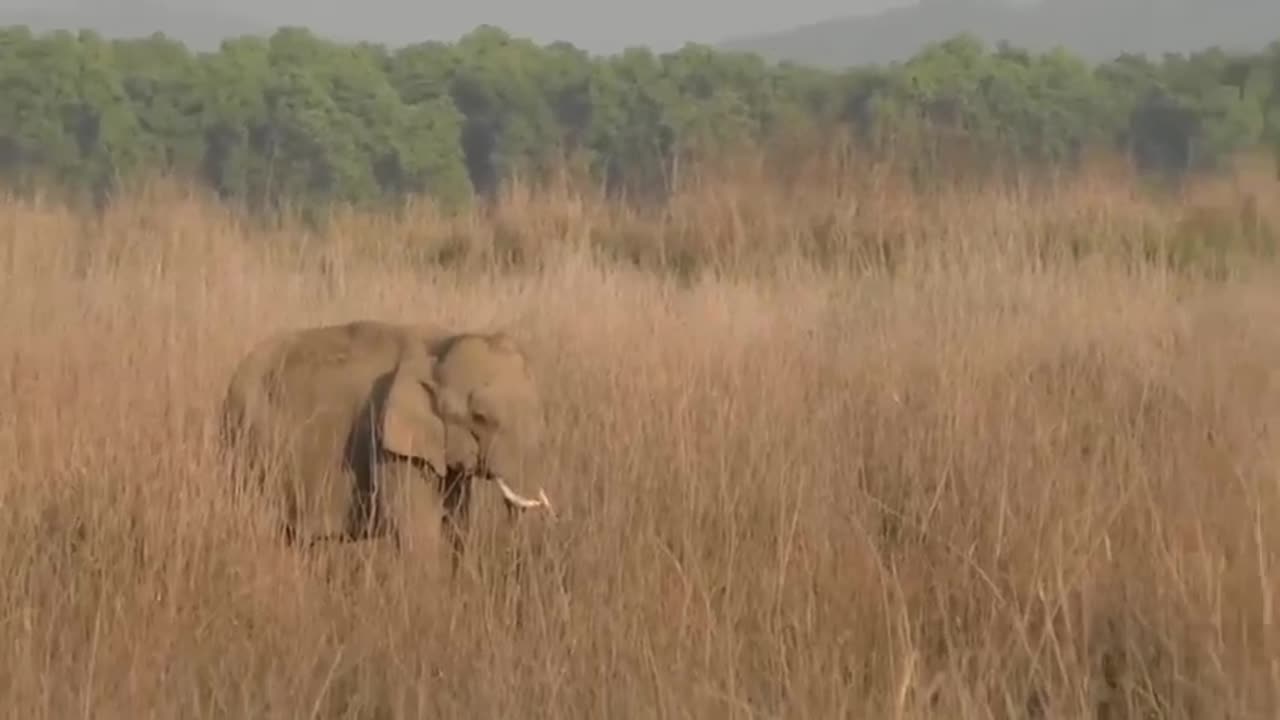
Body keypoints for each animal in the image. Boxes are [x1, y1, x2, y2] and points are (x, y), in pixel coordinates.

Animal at [216, 319, 555, 566]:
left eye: (540, 411)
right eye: (481, 418)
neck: (440, 348)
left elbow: (457, 522)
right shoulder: (389, 445)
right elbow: (421, 532)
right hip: (246, 449)